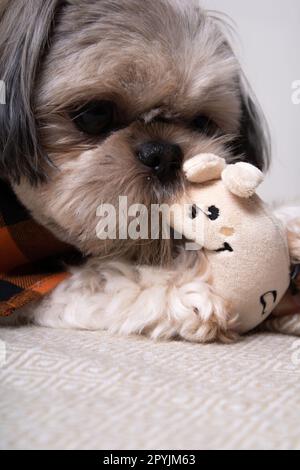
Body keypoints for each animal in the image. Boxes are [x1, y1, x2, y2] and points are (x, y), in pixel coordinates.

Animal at [0, 0, 298, 344]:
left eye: (202, 123)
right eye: (94, 115)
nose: (164, 154)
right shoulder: (18, 281)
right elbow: (94, 281)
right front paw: (188, 282)